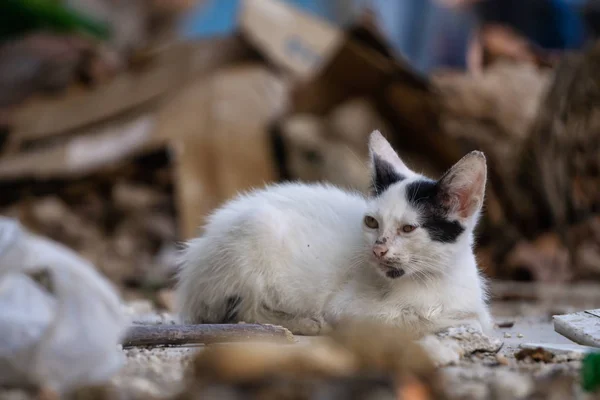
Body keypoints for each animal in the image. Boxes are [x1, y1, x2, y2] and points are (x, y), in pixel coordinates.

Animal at [175, 132, 492, 338]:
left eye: (408, 228)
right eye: (372, 222)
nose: (377, 250)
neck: (431, 280)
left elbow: (474, 315)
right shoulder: (349, 309)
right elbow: (409, 320)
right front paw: (456, 321)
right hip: (255, 232)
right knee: (243, 312)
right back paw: (305, 323)